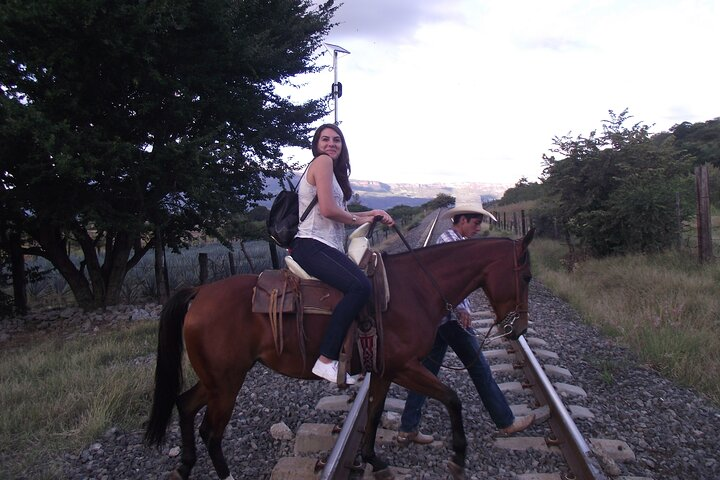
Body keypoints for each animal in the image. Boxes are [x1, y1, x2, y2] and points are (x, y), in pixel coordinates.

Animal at [145, 230, 536, 480]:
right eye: (527, 277)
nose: (518, 328)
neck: (417, 288)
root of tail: (200, 292)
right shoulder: (404, 367)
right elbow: (453, 398)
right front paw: (457, 456)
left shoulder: (384, 371)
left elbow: (375, 414)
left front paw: (374, 461)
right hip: (227, 383)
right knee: (211, 432)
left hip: (216, 380)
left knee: (184, 405)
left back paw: (184, 466)